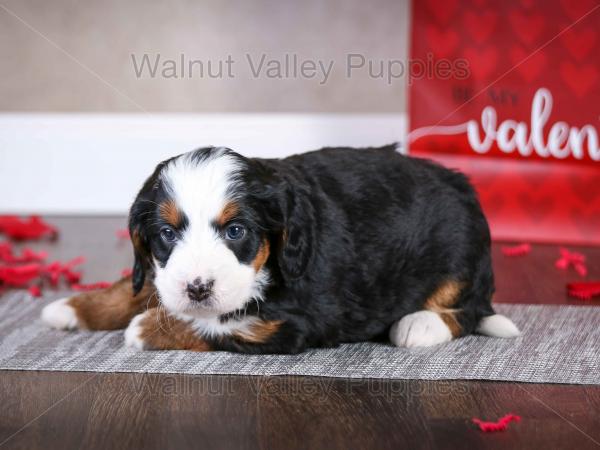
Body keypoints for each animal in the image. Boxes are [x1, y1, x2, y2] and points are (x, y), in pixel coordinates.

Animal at [42, 146, 520, 354]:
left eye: (236, 231)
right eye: (167, 234)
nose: (197, 287)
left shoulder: (294, 322)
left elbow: (218, 325)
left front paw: (147, 328)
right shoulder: (162, 270)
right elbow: (140, 284)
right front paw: (73, 307)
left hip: (462, 254)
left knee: (470, 309)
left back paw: (419, 325)